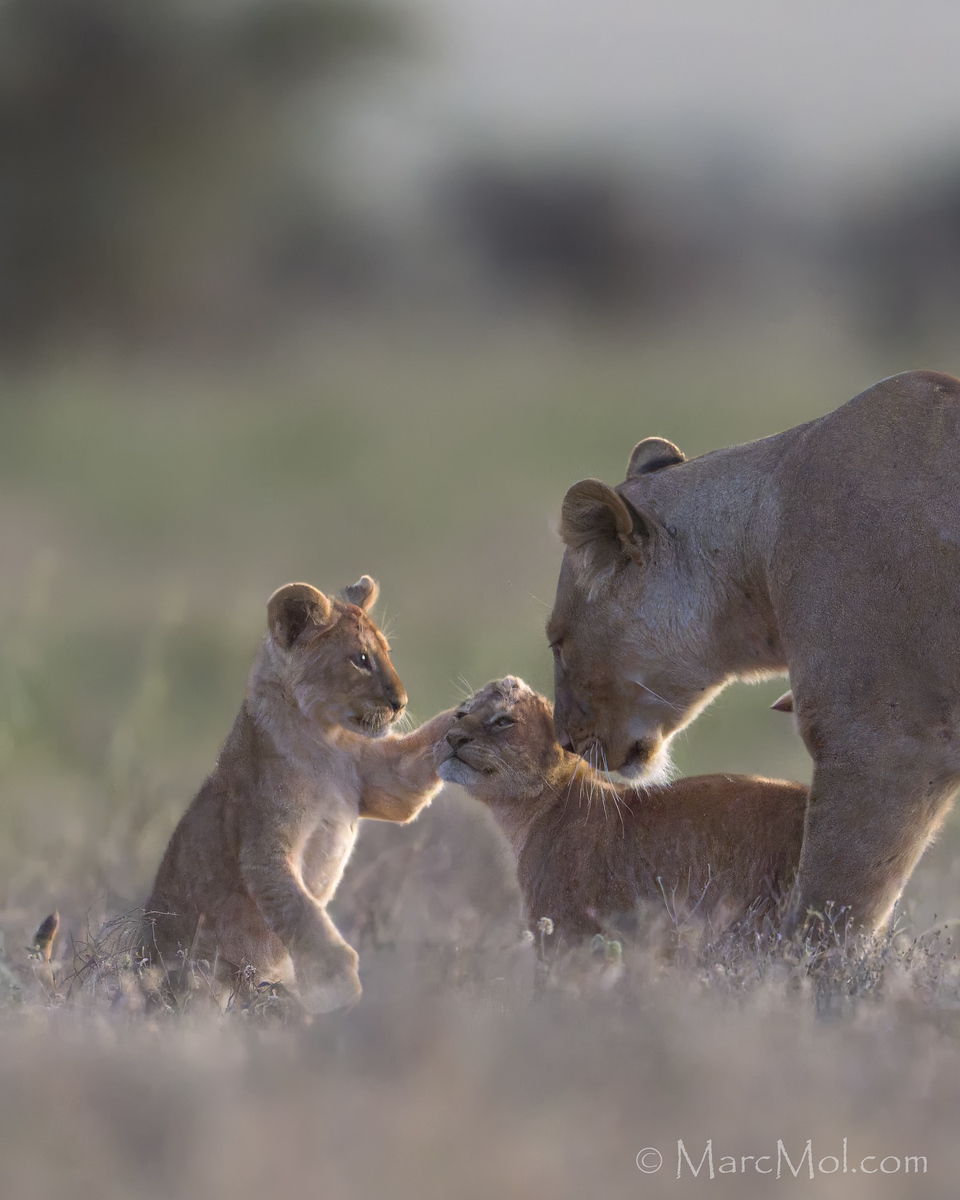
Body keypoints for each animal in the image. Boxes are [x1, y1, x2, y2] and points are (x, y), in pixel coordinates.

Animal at [141, 576, 455, 1014]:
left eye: (386, 654)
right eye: (361, 659)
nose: (400, 704)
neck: (326, 740)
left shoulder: (387, 781)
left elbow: (426, 749)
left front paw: (498, 698)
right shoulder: (264, 851)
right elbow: (305, 918)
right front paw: (338, 990)